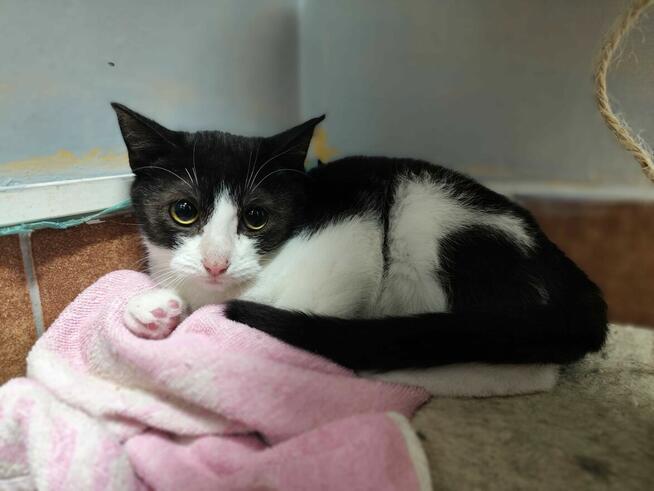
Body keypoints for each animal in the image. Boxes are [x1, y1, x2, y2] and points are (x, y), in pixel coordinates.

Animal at [112, 103, 607, 397]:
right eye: (184, 211)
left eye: (256, 217)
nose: (216, 263)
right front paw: (154, 307)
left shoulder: (350, 242)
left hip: (430, 214)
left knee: (516, 360)